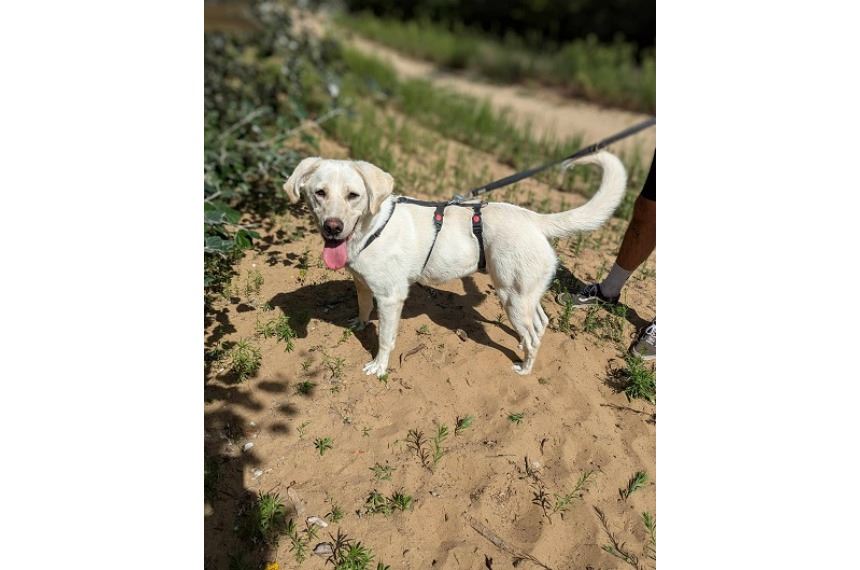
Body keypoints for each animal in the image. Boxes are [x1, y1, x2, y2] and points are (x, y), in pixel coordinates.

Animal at [283, 151, 627, 376]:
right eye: (319, 193)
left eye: (353, 195)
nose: (333, 227)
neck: (373, 226)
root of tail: (534, 219)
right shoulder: (363, 285)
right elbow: (364, 309)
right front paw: (358, 323)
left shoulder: (391, 299)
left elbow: (385, 339)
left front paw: (379, 367)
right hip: (525, 295)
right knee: (540, 324)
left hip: (512, 297)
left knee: (532, 335)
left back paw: (524, 367)